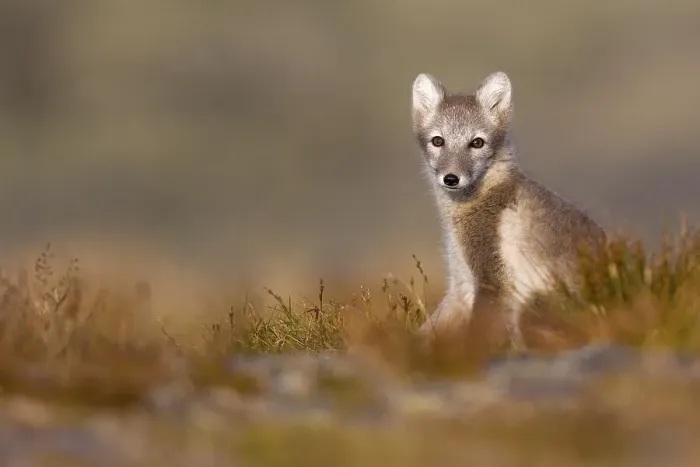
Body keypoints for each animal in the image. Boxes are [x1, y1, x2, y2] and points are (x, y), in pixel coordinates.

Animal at [411, 71, 606, 350]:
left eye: (477, 143)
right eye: (438, 141)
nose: (451, 178)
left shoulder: (491, 280)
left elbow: (476, 337)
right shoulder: (461, 286)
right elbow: (426, 331)